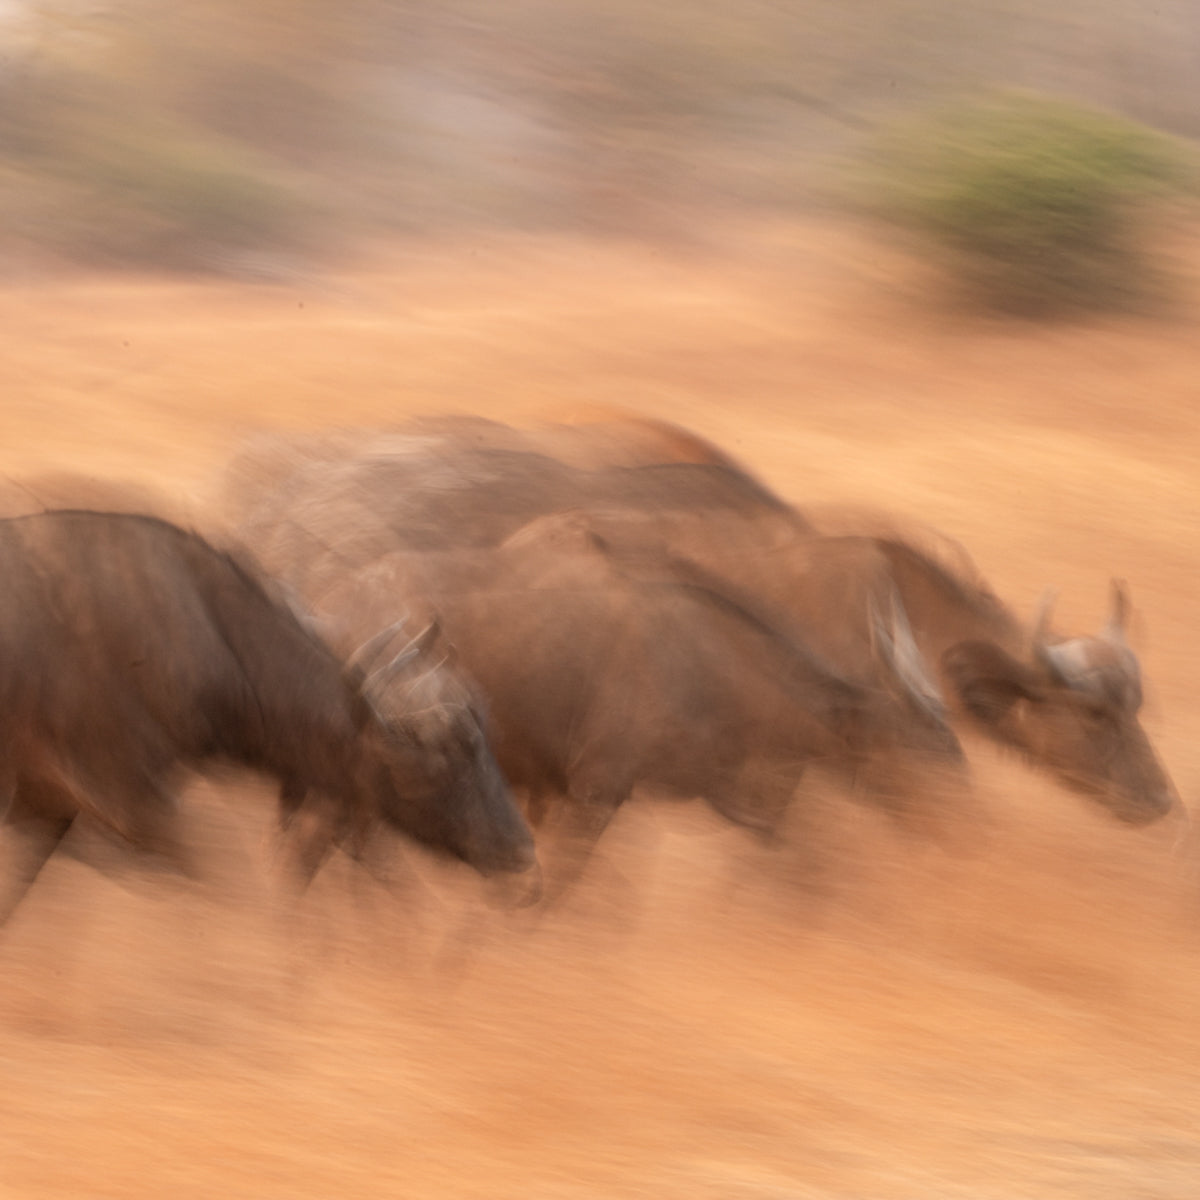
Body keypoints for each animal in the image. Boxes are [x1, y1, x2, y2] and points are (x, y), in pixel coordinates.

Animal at [0, 509, 535, 924]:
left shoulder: (45, 810)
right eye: (448, 760)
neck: (211, 631)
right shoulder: (134, 806)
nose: (519, 848)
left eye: (484, 744)